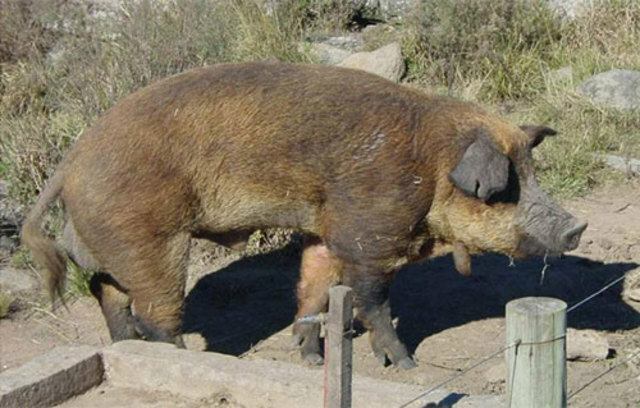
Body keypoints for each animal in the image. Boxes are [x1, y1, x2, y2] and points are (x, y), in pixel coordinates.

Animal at [21, 62, 587, 369]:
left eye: (533, 172)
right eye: (506, 189)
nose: (577, 226)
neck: (428, 167)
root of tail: (69, 162)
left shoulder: (326, 231)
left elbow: (314, 288)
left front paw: (314, 358)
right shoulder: (368, 232)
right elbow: (372, 300)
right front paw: (405, 363)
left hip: (110, 245)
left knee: (109, 295)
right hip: (151, 239)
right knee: (155, 314)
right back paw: (188, 357)